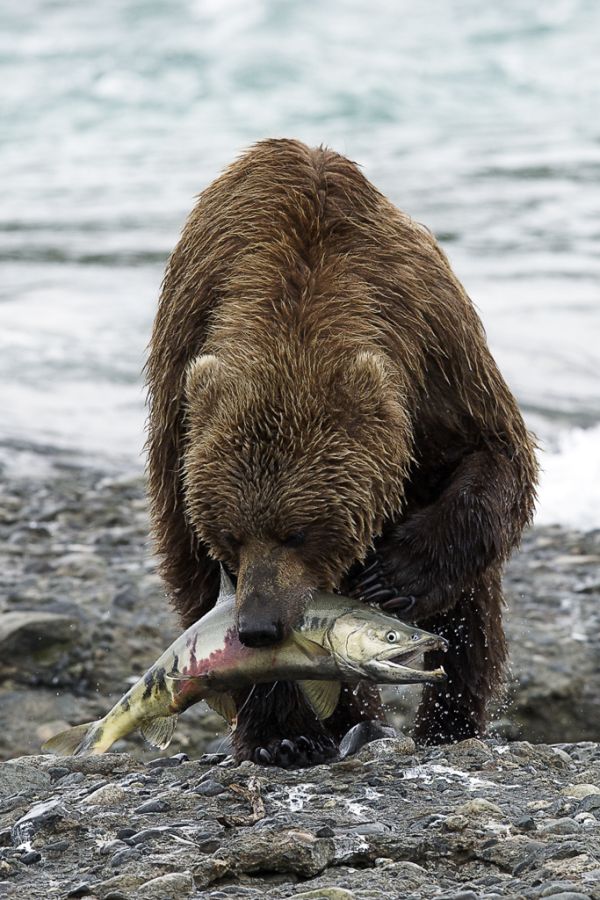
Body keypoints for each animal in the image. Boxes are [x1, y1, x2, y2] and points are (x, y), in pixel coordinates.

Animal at [146, 139, 540, 768]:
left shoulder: (435, 357)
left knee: (473, 611)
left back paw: (447, 723)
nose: (259, 627)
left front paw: (394, 577)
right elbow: (196, 575)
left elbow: (497, 458)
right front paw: (284, 731)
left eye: (299, 532)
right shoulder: (180, 392)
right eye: (230, 536)